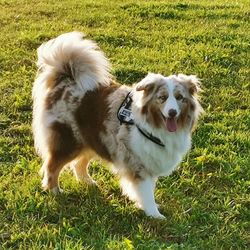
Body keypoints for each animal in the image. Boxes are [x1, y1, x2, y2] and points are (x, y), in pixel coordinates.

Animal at [32, 31, 202, 219]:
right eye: (162, 98)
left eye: (180, 98)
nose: (172, 112)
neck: (154, 127)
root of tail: (65, 79)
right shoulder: (138, 165)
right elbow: (146, 193)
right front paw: (155, 215)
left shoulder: (149, 161)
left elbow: (148, 191)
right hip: (68, 141)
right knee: (52, 166)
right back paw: (55, 191)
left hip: (92, 138)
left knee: (79, 164)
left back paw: (88, 182)